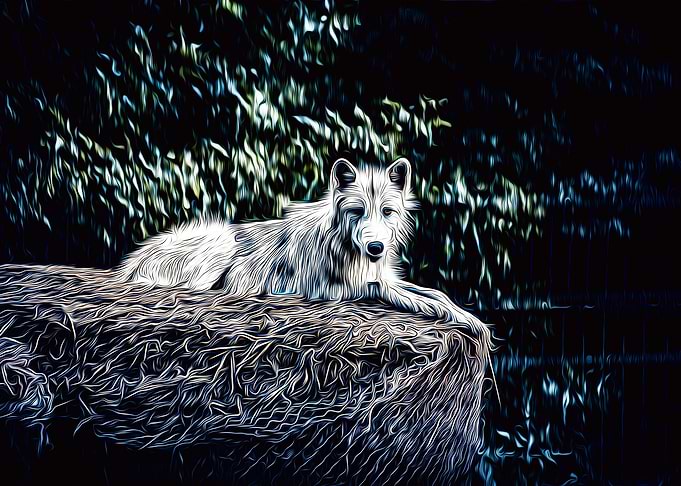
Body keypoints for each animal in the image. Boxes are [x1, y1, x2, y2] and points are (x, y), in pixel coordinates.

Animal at [116, 157, 490, 344]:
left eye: (387, 212)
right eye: (357, 211)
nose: (376, 247)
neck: (347, 247)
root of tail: (132, 262)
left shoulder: (382, 275)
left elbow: (435, 293)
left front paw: (467, 316)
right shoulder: (342, 288)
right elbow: (409, 296)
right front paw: (460, 318)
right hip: (222, 244)